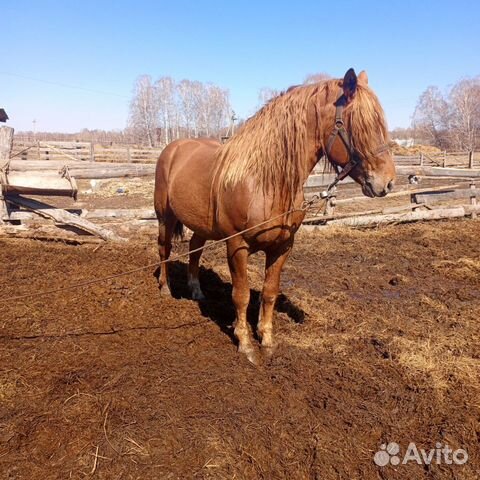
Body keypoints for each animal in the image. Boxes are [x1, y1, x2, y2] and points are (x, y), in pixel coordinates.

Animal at [156, 68, 396, 364]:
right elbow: (241, 295)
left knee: (194, 249)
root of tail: (173, 148)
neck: (264, 182)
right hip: (165, 217)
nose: (387, 183)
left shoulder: (283, 247)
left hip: (200, 225)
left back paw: (197, 291)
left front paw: (267, 340)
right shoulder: (237, 246)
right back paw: (165, 289)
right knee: (164, 249)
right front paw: (246, 345)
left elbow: (269, 293)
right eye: (360, 125)